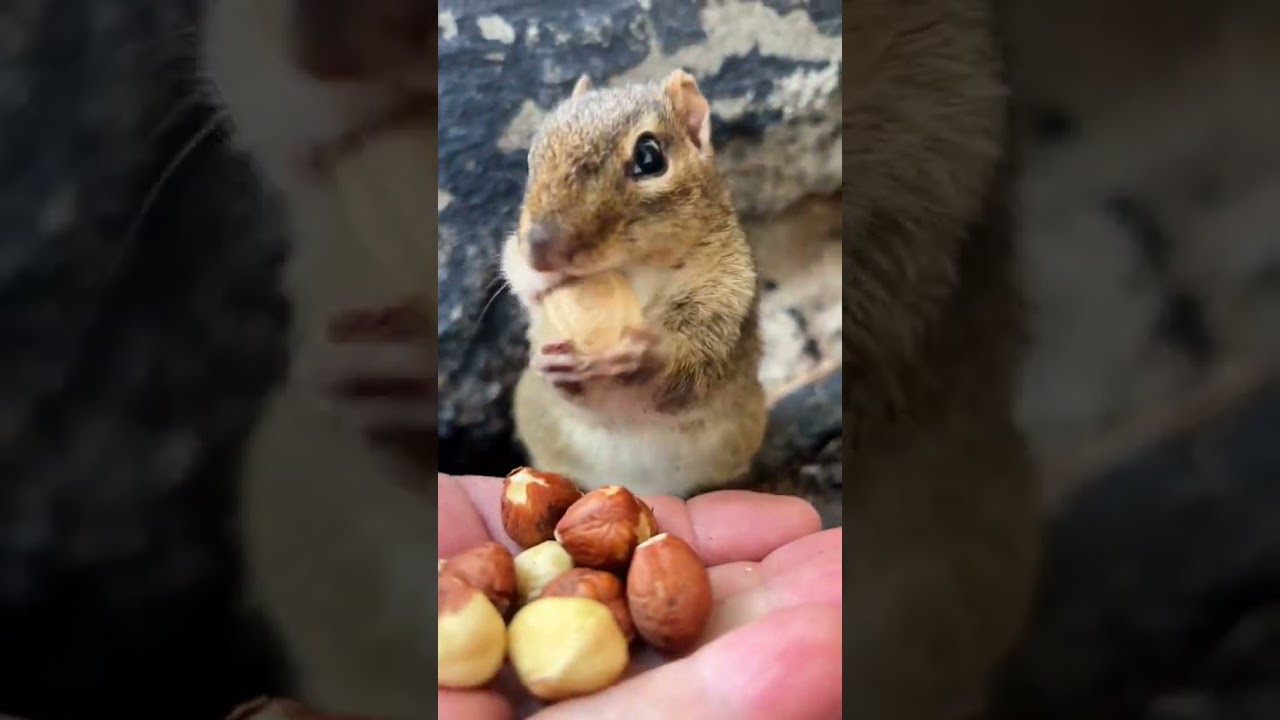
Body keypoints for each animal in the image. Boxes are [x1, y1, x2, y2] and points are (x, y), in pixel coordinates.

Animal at [500, 70, 769, 498]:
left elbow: (696, 365)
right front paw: (553, 363)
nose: (540, 252)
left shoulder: (728, 292)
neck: (632, 271)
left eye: (649, 157)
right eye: (533, 156)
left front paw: (646, 356)